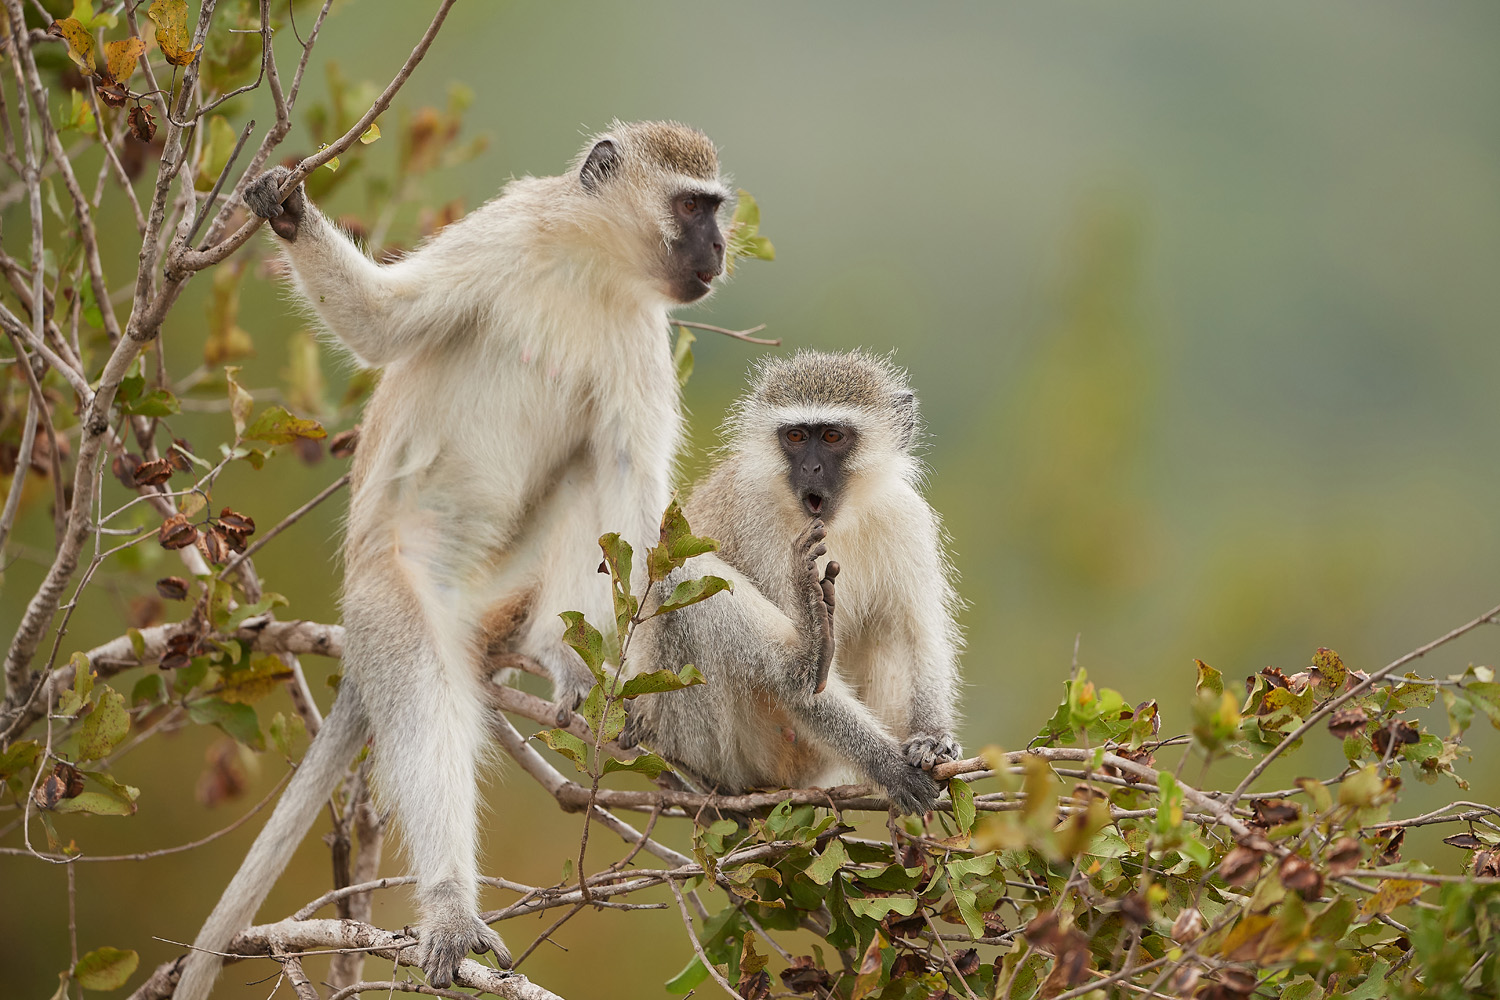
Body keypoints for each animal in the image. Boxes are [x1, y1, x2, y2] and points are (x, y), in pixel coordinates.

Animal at [172, 121, 735, 995]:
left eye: (714, 209)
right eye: (690, 206)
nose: (718, 247)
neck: (588, 266)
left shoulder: (643, 339)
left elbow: (631, 500)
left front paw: (635, 683)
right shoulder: (495, 237)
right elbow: (384, 322)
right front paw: (286, 210)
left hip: (507, 584)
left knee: (588, 477)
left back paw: (559, 654)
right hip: (393, 585)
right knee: (424, 692)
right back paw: (448, 909)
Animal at [624, 350, 960, 815]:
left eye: (833, 436)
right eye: (797, 436)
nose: (811, 467)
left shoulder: (905, 515)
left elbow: (919, 634)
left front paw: (932, 738)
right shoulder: (756, 514)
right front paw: (888, 767)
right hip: (715, 742)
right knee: (684, 575)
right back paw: (806, 656)